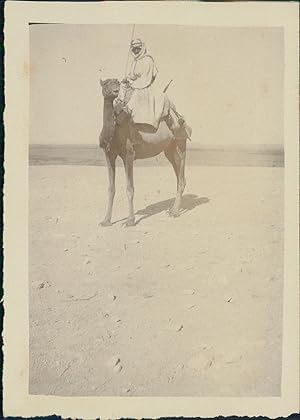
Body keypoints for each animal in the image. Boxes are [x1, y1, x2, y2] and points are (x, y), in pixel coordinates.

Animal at [99, 79, 191, 230]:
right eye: (106, 83)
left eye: (116, 82)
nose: (116, 90)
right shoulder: (108, 155)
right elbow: (110, 189)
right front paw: (106, 220)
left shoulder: (129, 155)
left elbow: (130, 189)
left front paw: (130, 221)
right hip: (169, 149)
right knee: (178, 173)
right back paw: (172, 210)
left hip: (180, 140)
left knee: (182, 173)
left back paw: (175, 212)